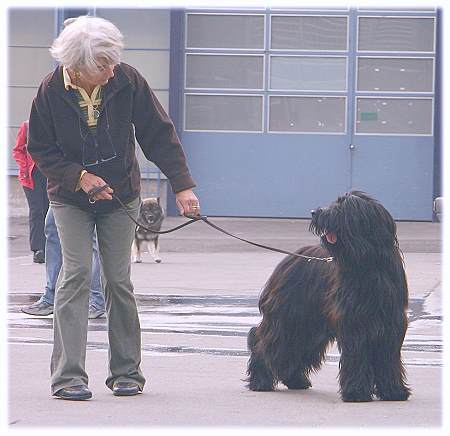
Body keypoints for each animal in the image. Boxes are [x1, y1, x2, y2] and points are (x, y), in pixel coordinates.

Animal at [246, 192, 412, 404]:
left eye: (342, 206)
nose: (314, 212)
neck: (368, 264)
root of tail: (291, 257)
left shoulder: (391, 324)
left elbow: (388, 358)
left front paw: (394, 391)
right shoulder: (354, 323)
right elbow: (357, 356)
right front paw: (356, 392)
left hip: (310, 327)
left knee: (295, 349)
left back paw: (296, 380)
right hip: (287, 319)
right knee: (265, 344)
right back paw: (260, 382)